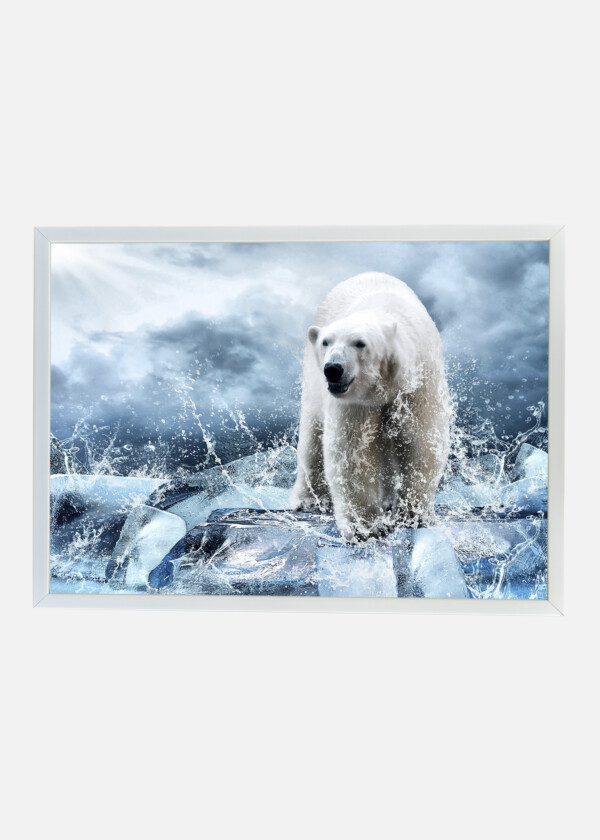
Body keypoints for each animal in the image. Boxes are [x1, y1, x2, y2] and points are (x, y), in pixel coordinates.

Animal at [291, 271, 451, 542]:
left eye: (359, 343)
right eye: (326, 342)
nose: (333, 369)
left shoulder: (419, 382)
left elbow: (421, 440)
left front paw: (412, 514)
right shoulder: (355, 401)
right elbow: (352, 450)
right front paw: (365, 526)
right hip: (312, 382)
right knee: (312, 437)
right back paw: (308, 499)